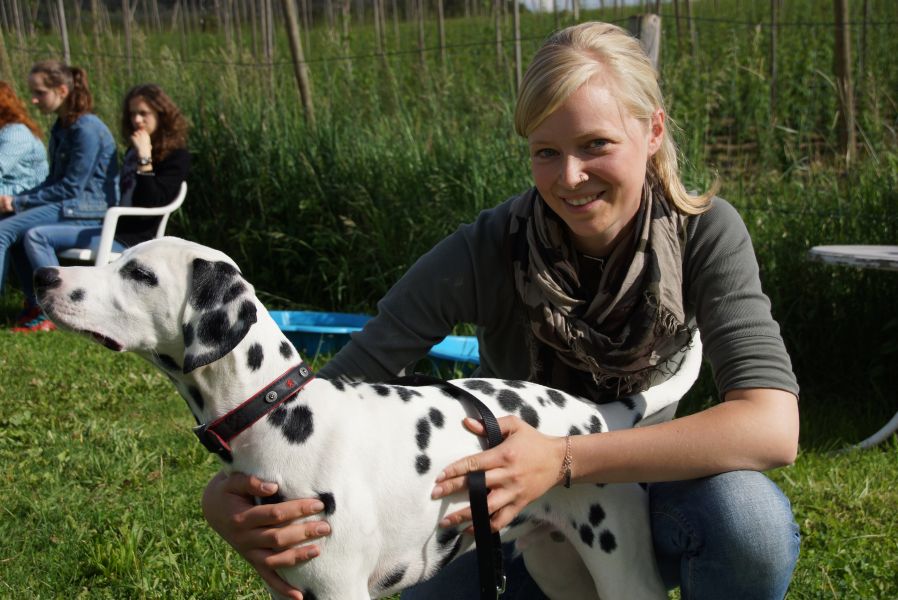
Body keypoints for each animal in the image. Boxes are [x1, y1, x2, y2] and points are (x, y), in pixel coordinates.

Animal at [36, 237, 702, 600]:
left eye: (140, 273)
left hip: (624, 572)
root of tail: (599, 413)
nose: (44, 276)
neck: (281, 415)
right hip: (559, 568)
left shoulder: (337, 591)